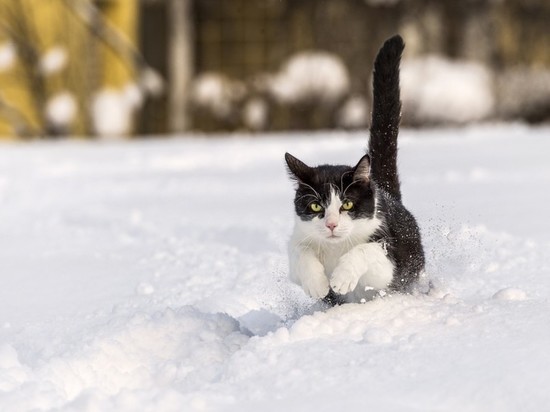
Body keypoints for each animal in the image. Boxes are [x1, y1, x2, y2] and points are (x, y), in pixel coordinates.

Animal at [286, 34, 424, 306]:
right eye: (315, 206)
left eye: (347, 204)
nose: (331, 225)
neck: (335, 248)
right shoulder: (298, 238)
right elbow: (300, 253)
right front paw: (318, 284)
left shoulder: (387, 258)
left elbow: (365, 251)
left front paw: (341, 279)